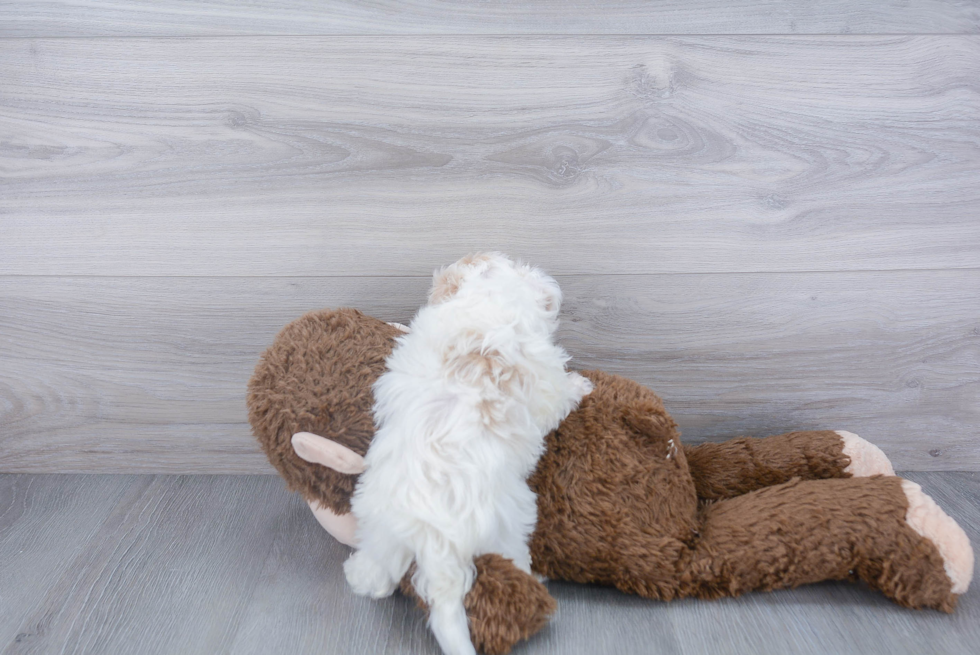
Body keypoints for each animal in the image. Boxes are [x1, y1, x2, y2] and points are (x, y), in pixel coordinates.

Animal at [342, 252, 588, 655]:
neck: (489, 299)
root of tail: (435, 540)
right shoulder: (545, 385)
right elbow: (559, 395)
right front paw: (580, 385)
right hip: (509, 526)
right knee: (514, 560)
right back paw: (535, 578)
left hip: (381, 524)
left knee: (378, 571)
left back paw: (359, 575)